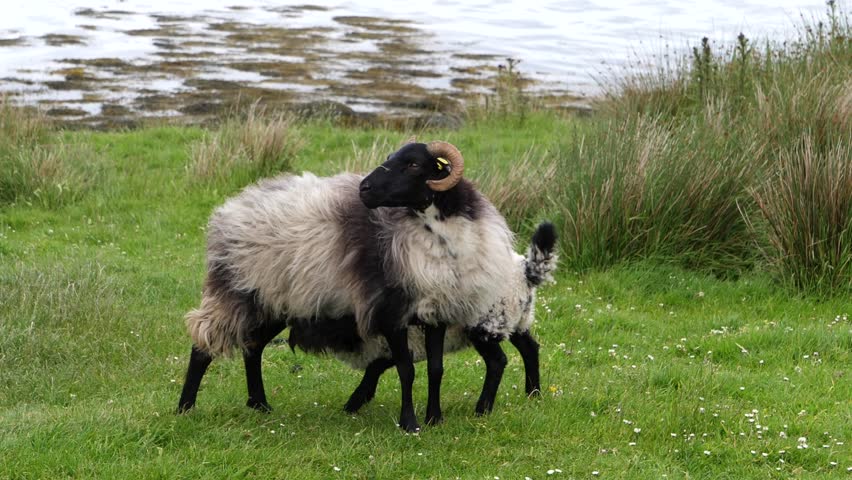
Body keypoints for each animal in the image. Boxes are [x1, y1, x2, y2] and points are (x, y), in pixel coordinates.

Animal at [177, 140, 518, 432]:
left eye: (412, 164)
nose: (364, 188)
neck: (435, 234)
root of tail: (230, 209)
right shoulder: (391, 312)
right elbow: (406, 369)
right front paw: (410, 423)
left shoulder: (437, 314)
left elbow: (436, 369)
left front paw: (434, 418)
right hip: (238, 291)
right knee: (204, 346)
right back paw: (186, 408)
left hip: (273, 300)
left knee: (253, 347)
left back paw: (259, 404)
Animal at [288, 221, 558, 417]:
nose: (293, 338)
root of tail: (526, 271)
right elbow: (380, 367)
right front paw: (356, 402)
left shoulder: (402, 340)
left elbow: (378, 368)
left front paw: (354, 402)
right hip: (515, 318)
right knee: (530, 348)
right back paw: (533, 394)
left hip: (485, 323)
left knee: (497, 361)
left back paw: (482, 409)